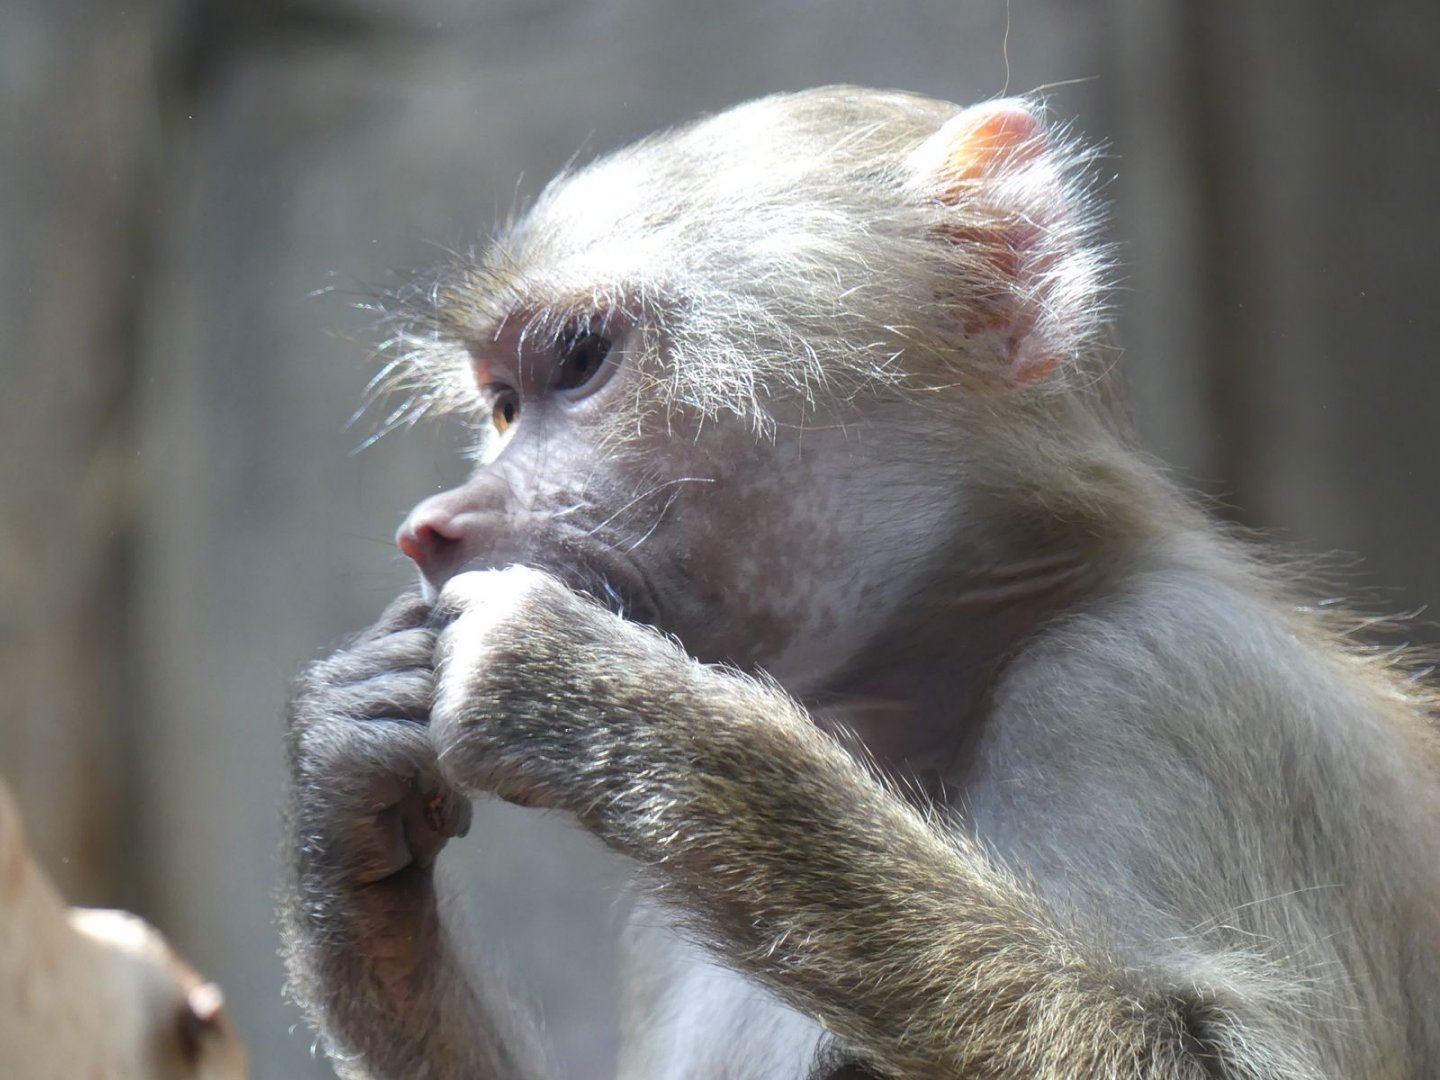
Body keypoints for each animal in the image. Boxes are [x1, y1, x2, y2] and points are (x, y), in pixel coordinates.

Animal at [279, 86, 1440, 1079]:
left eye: (578, 359)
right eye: (503, 404)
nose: (430, 529)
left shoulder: (1168, 676)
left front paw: (617, 713)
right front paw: (347, 808)